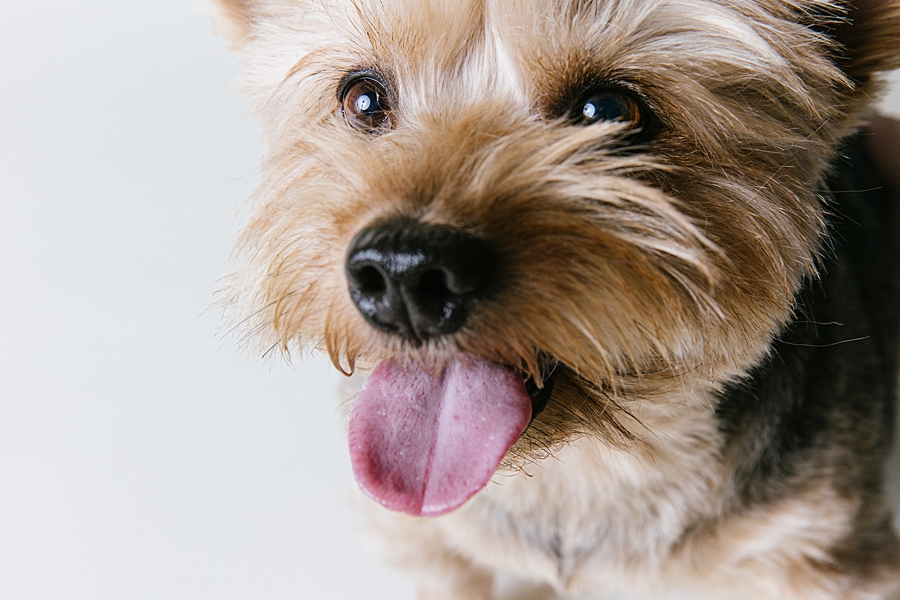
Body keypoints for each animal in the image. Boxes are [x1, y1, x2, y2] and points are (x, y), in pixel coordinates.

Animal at [207, 2, 900, 596]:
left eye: (609, 110)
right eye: (363, 98)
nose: (404, 271)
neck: (578, 472)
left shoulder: (815, 556)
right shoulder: (433, 547)